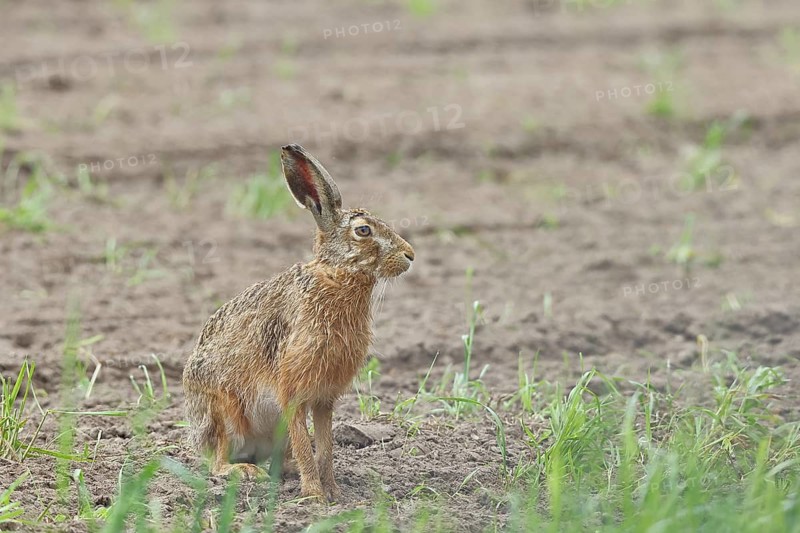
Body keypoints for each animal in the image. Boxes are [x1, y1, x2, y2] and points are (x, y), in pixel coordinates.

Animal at [182, 143, 415, 502]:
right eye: (363, 230)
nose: (410, 255)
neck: (336, 276)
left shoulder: (324, 399)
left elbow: (325, 446)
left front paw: (334, 492)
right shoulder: (291, 390)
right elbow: (308, 445)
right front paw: (316, 497)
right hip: (224, 411)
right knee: (218, 461)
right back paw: (246, 472)